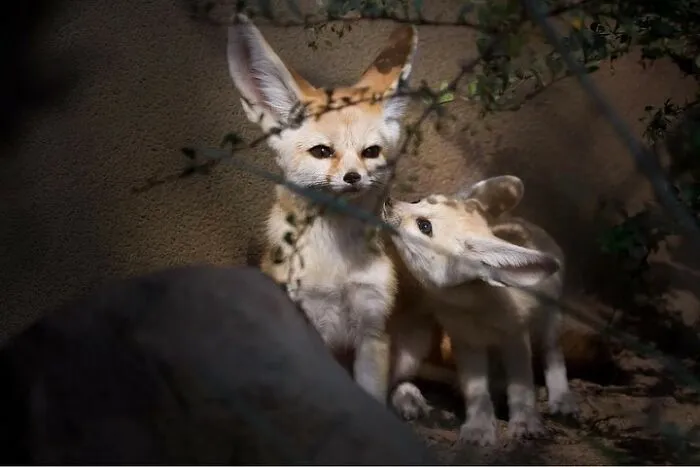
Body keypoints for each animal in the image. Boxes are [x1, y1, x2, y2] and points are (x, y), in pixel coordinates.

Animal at [225, 15, 418, 403]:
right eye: (322, 152)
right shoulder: (309, 323)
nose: (353, 177)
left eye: (371, 152)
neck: (336, 264)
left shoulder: (374, 329)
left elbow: (372, 398)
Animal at [382, 175, 578, 446]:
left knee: (553, 353)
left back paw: (561, 397)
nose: (388, 201)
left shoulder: (516, 338)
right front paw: (479, 426)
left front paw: (525, 421)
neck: (477, 310)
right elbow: (476, 390)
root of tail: (525, 222)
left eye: (424, 226)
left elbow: (521, 386)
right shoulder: (466, 341)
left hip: (547, 322)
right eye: (417, 200)